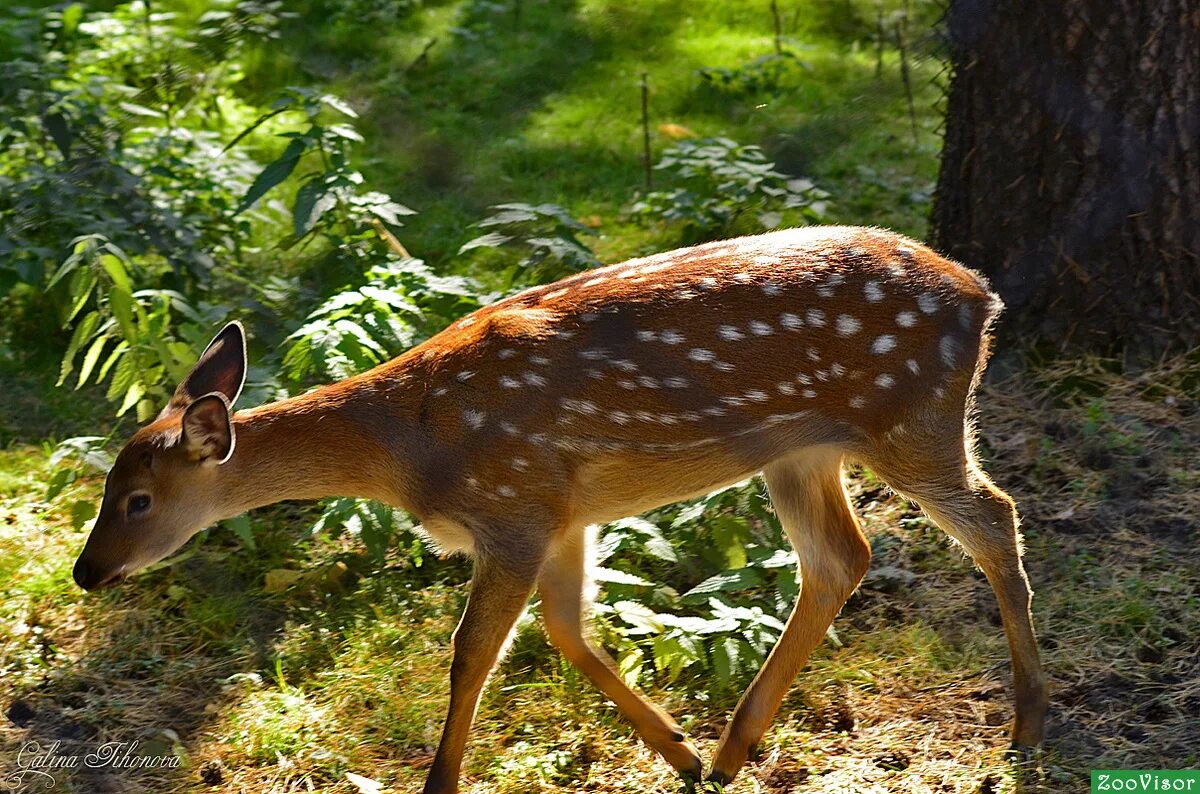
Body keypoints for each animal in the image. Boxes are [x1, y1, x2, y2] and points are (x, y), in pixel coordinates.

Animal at [75, 226, 1046, 791]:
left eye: (137, 499)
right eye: (108, 489)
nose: (86, 572)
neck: (412, 449)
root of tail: (982, 295)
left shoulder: (512, 504)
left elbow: (471, 654)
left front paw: (438, 783)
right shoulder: (565, 512)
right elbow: (569, 630)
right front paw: (676, 749)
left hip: (909, 417)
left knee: (993, 516)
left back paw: (1030, 719)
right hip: (801, 450)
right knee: (842, 558)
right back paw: (731, 750)